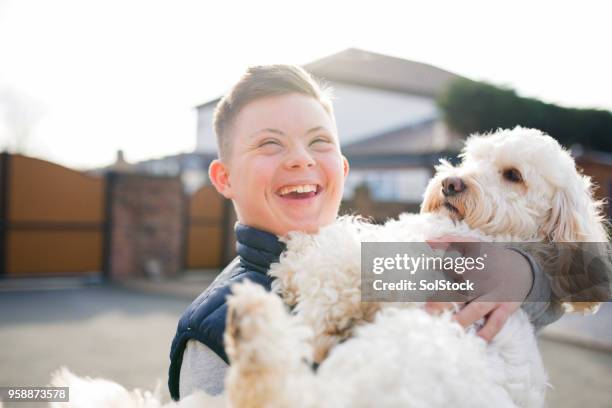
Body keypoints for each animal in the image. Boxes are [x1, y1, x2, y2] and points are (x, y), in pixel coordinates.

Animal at [43, 127, 608, 408]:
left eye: (512, 175)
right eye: (470, 159)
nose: (452, 183)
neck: (500, 237)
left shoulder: (388, 263)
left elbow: (333, 256)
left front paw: (295, 270)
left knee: (267, 392)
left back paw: (253, 324)